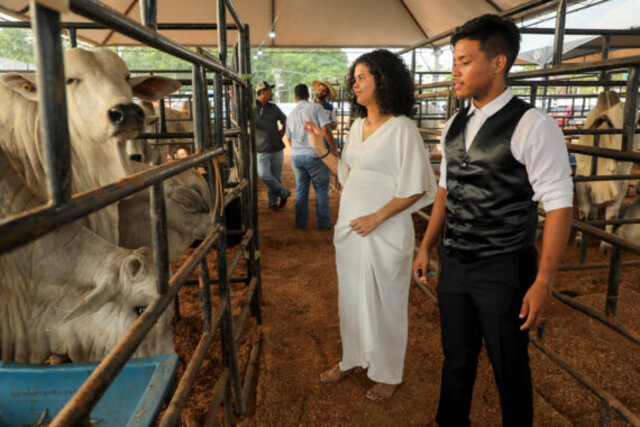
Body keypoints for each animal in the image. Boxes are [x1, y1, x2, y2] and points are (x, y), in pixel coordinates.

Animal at [576, 91, 640, 254]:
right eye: (610, 123)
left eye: (637, 123)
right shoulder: (582, 181)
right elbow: (583, 212)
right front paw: (579, 238)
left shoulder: (621, 186)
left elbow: (611, 216)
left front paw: (605, 245)